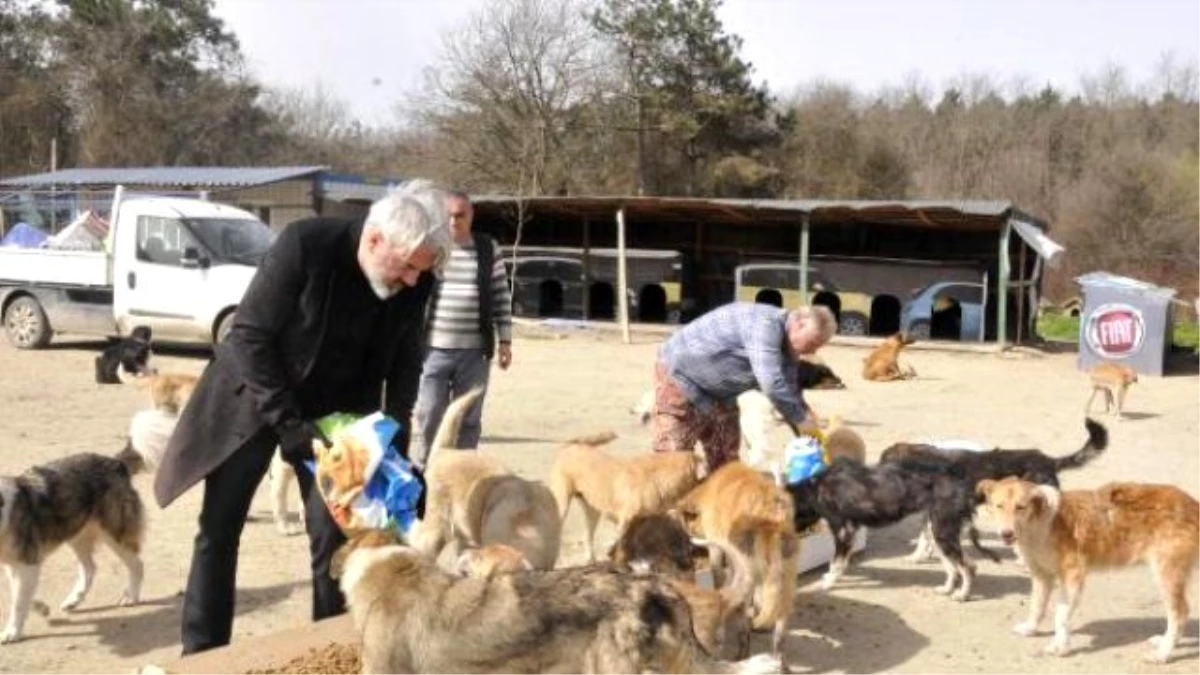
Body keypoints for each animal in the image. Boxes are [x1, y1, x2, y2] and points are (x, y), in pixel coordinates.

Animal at [0, 446, 145, 638]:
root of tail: (116, 463)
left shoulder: (27, 562)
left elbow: (18, 601)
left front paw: (13, 632)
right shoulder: (16, 564)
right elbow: (22, 595)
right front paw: (41, 608)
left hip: (114, 533)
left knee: (137, 564)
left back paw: (131, 596)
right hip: (76, 532)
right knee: (89, 568)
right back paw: (74, 599)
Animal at [547, 427, 700, 559]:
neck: (656, 477)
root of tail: (570, 446)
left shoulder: (640, 522)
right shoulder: (624, 522)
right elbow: (621, 547)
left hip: (592, 510)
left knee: (588, 537)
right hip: (562, 503)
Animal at [979, 475, 1200, 658]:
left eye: (1021, 507)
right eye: (999, 506)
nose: (1006, 534)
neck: (1041, 523)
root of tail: (1193, 504)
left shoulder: (1073, 575)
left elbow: (1061, 615)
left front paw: (1061, 646)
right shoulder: (1042, 576)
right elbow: (1037, 606)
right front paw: (1030, 629)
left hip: (1166, 573)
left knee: (1180, 612)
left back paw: (1163, 653)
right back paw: (1163, 642)